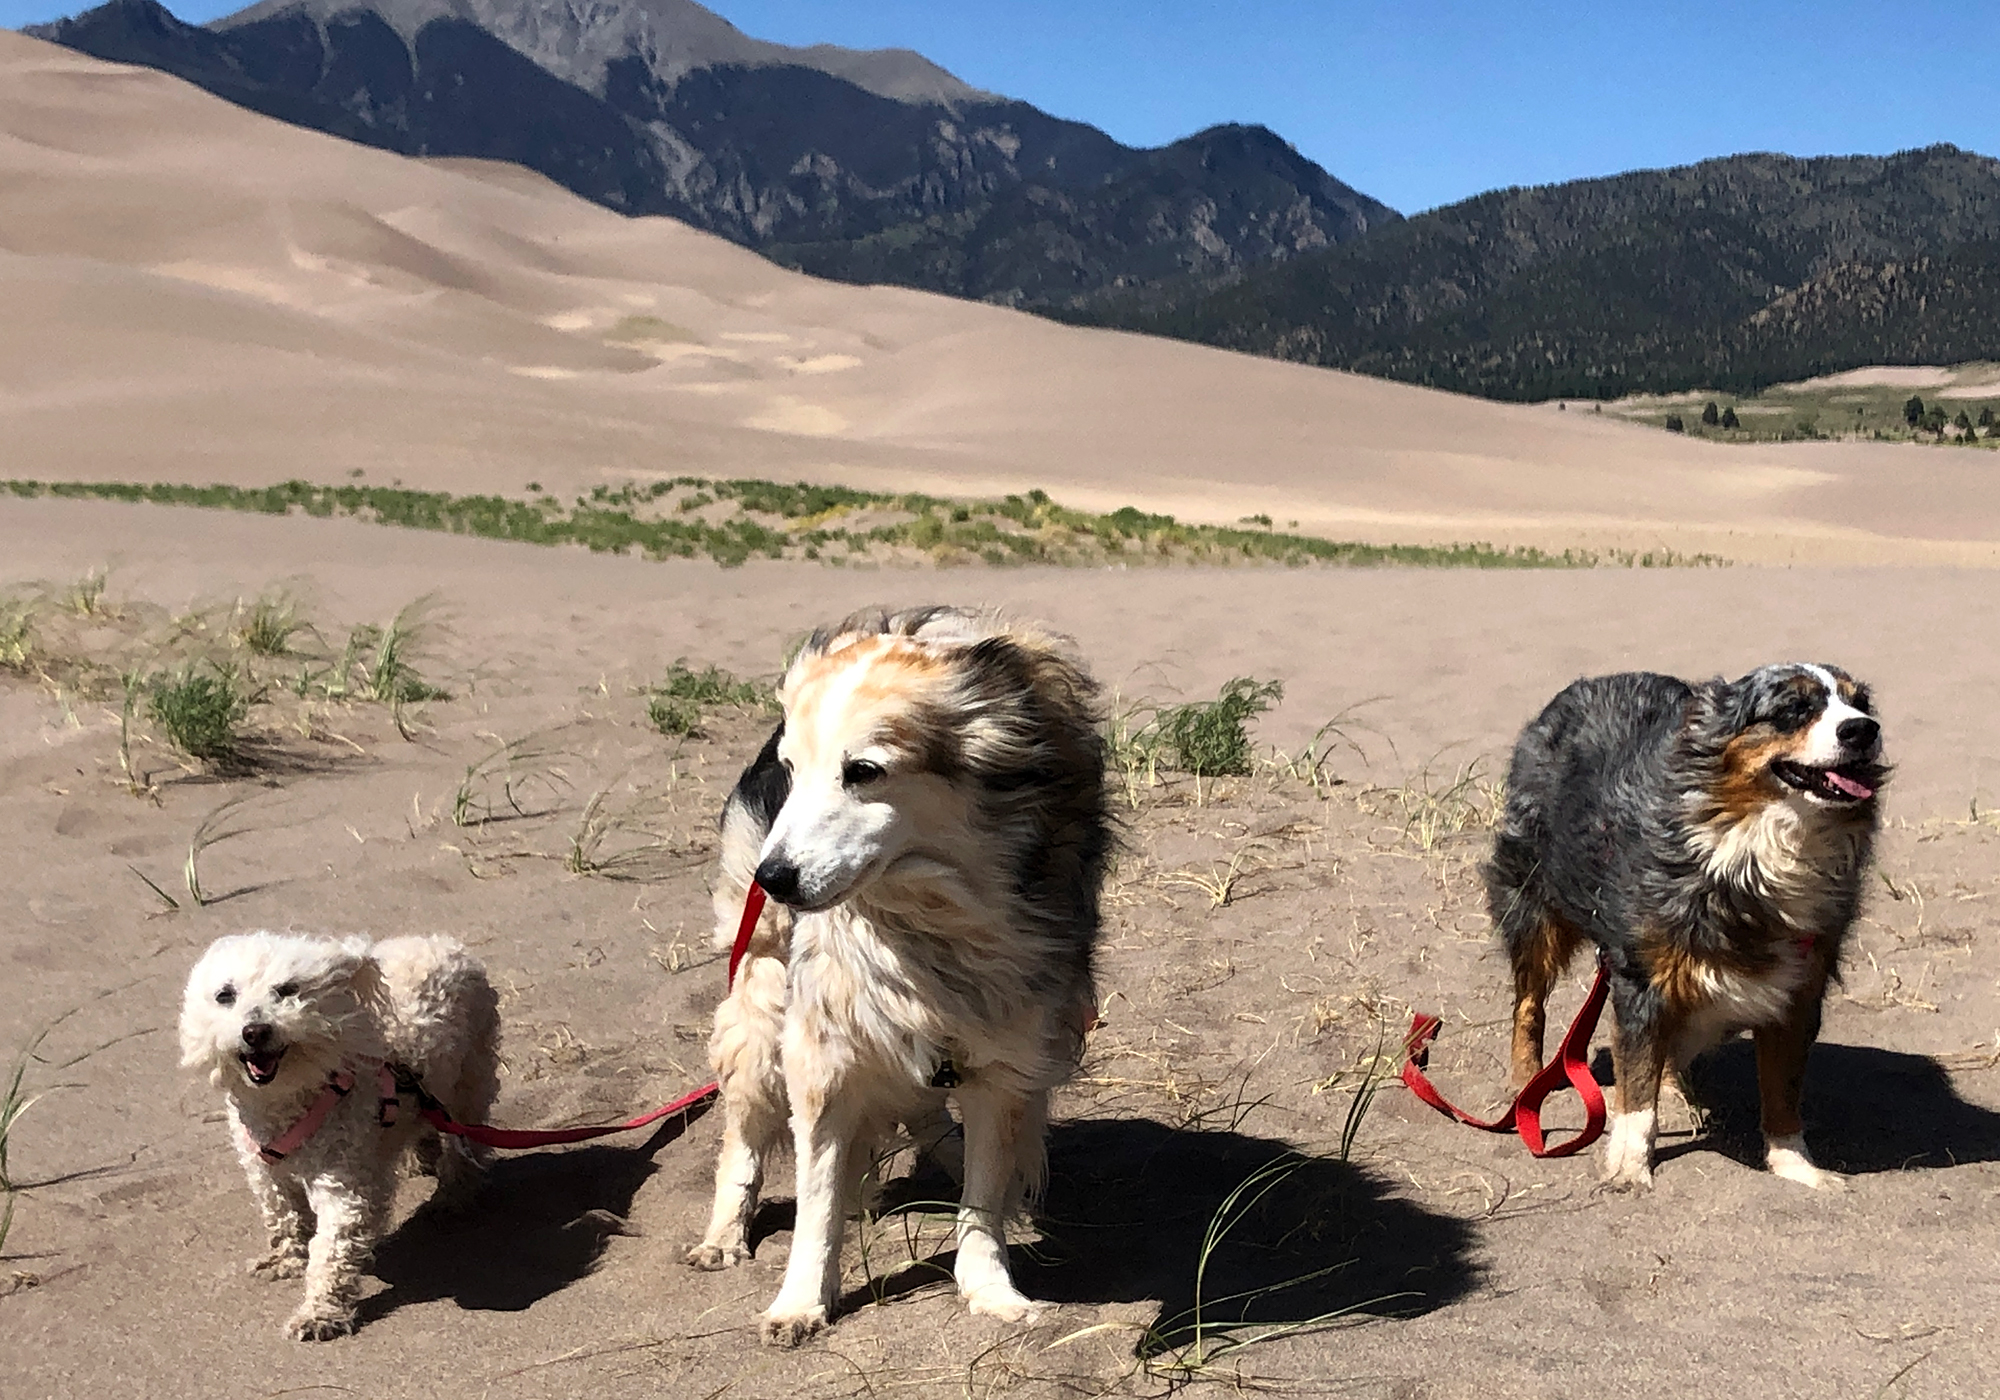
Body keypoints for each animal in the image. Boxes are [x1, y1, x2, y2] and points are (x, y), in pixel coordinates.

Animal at [182, 928, 500, 1336]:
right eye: (225, 995)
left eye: (288, 990)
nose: (255, 1031)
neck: (288, 1098)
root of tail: (440, 942)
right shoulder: (265, 1170)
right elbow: (282, 1213)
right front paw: (286, 1258)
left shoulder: (342, 1179)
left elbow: (333, 1244)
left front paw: (320, 1313)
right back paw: (421, 1156)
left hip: (470, 1079)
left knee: (466, 1142)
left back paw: (452, 1195)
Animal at [692, 604, 1120, 1344]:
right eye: (793, 770)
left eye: (863, 770)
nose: (772, 879)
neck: (930, 914)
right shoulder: (823, 1048)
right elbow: (816, 1195)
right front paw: (801, 1301)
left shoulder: (1005, 1051)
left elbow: (983, 1192)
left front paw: (987, 1288)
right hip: (761, 990)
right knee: (744, 1133)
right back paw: (725, 1234)